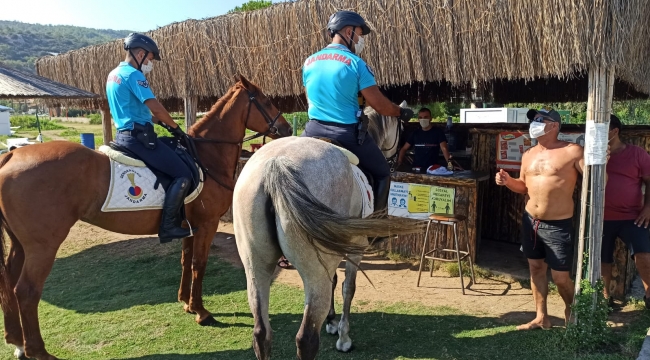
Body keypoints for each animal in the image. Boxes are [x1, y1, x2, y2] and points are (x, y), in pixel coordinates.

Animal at [0, 74, 290, 358]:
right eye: (266, 100)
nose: (287, 129)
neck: (206, 157)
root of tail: (11, 155)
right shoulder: (207, 224)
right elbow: (199, 264)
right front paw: (201, 311)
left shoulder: (189, 225)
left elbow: (185, 261)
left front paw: (186, 302)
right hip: (43, 246)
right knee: (26, 291)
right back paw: (37, 351)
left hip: (21, 244)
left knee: (9, 282)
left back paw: (16, 340)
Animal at [234, 102, 416, 358]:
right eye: (402, 131)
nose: (403, 159)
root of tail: (276, 166)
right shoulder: (356, 249)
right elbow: (348, 288)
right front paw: (343, 337)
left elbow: (335, 280)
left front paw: (331, 322)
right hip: (314, 270)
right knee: (306, 338)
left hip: (256, 265)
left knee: (261, 334)